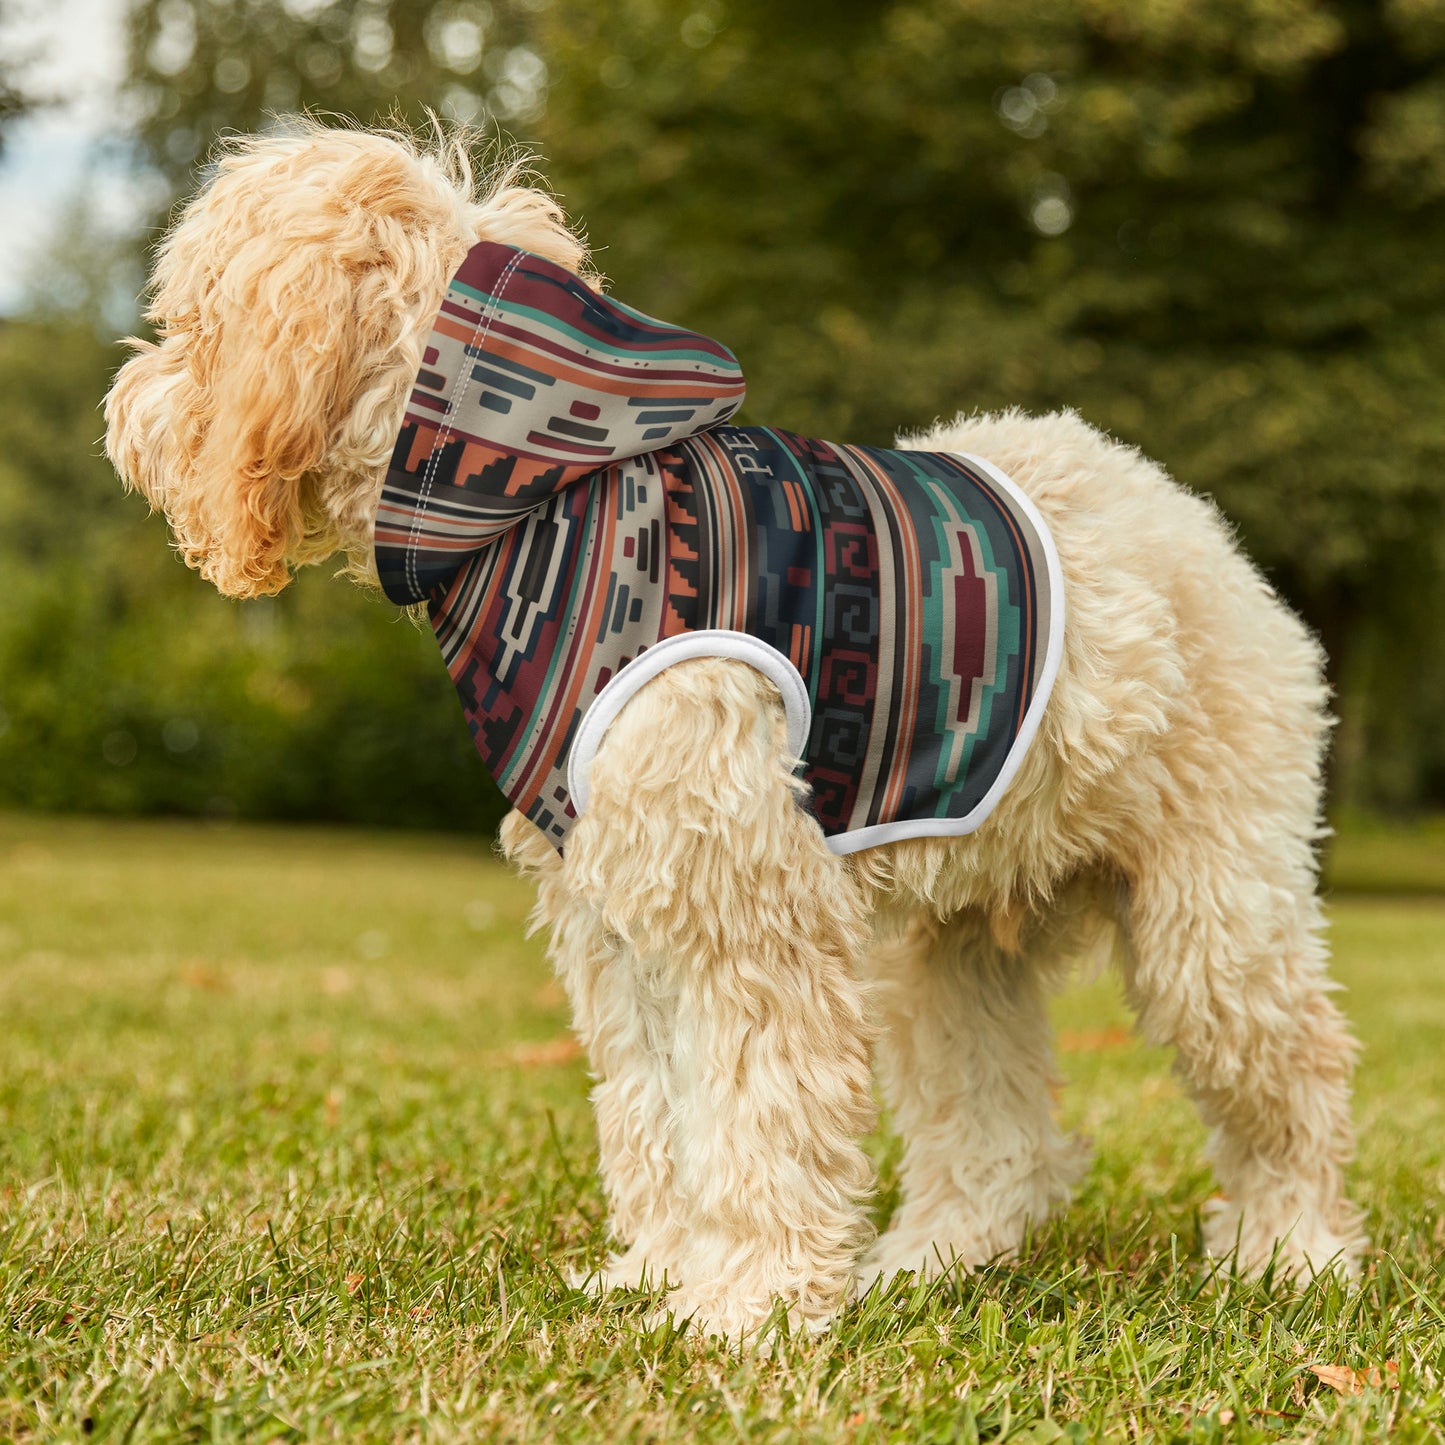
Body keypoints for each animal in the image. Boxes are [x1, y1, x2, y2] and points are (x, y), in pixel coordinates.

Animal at [106, 124, 1358, 1340]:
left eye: (190, 323)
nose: (123, 408)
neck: (541, 497)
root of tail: (1189, 520)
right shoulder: (618, 916)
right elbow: (656, 1111)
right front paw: (661, 1272)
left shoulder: (745, 907)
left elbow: (758, 1114)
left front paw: (746, 1304)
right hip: (951, 947)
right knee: (997, 1134)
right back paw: (931, 1259)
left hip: (1212, 917)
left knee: (1294, 1075)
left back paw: (1291, 1252)